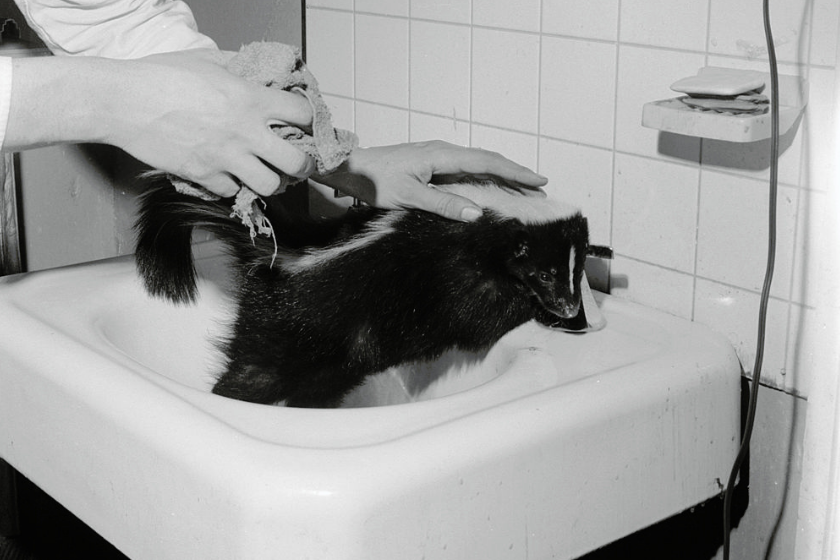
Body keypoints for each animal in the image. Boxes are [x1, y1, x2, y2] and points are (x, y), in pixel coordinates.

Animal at [135, 178, 588, 406]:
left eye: (578, 266)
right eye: (544, 274)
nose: (568, 308)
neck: (480, 224)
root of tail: (281, 255)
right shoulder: (453, 277)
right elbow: (480, 318)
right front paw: (535, 309)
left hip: (333, 361)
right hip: (284, 331)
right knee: (252, 376)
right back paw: (229, 402)